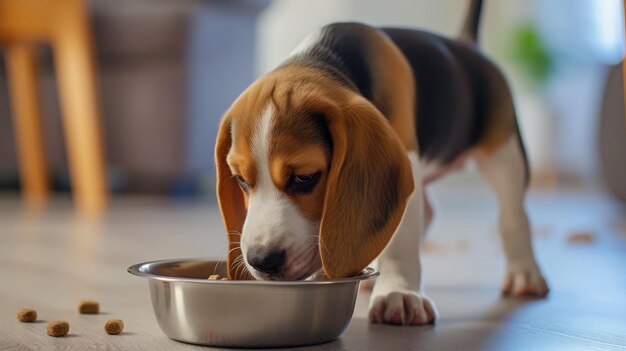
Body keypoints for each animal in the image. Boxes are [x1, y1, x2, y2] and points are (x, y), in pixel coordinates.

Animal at [214, 0, 544, 328]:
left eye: (305, 177)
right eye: (240, 180)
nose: (262, 260)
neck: (322, 59)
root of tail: (466, 44)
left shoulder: (407, 156)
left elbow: (400, 240)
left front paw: (399, 293)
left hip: (505, 154)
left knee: (514, 216)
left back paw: (524, 273)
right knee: (428, 210)